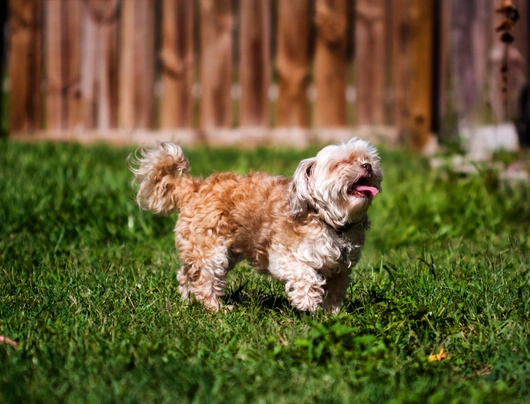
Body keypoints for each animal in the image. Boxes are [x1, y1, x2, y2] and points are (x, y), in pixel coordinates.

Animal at [130, 138, 382, 312]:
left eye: (367, 158)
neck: (328, 220)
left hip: (212, 250)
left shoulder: (340, 269)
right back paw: (216, 308)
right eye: (340, 163)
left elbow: (335, 292)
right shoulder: (285, 257)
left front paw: (332, 314)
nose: (367, 166)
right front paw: (308, 303)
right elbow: (306, 276)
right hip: (212, 251)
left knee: (187, 274)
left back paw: (188, 301)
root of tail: (193, 187)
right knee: (205, 280)